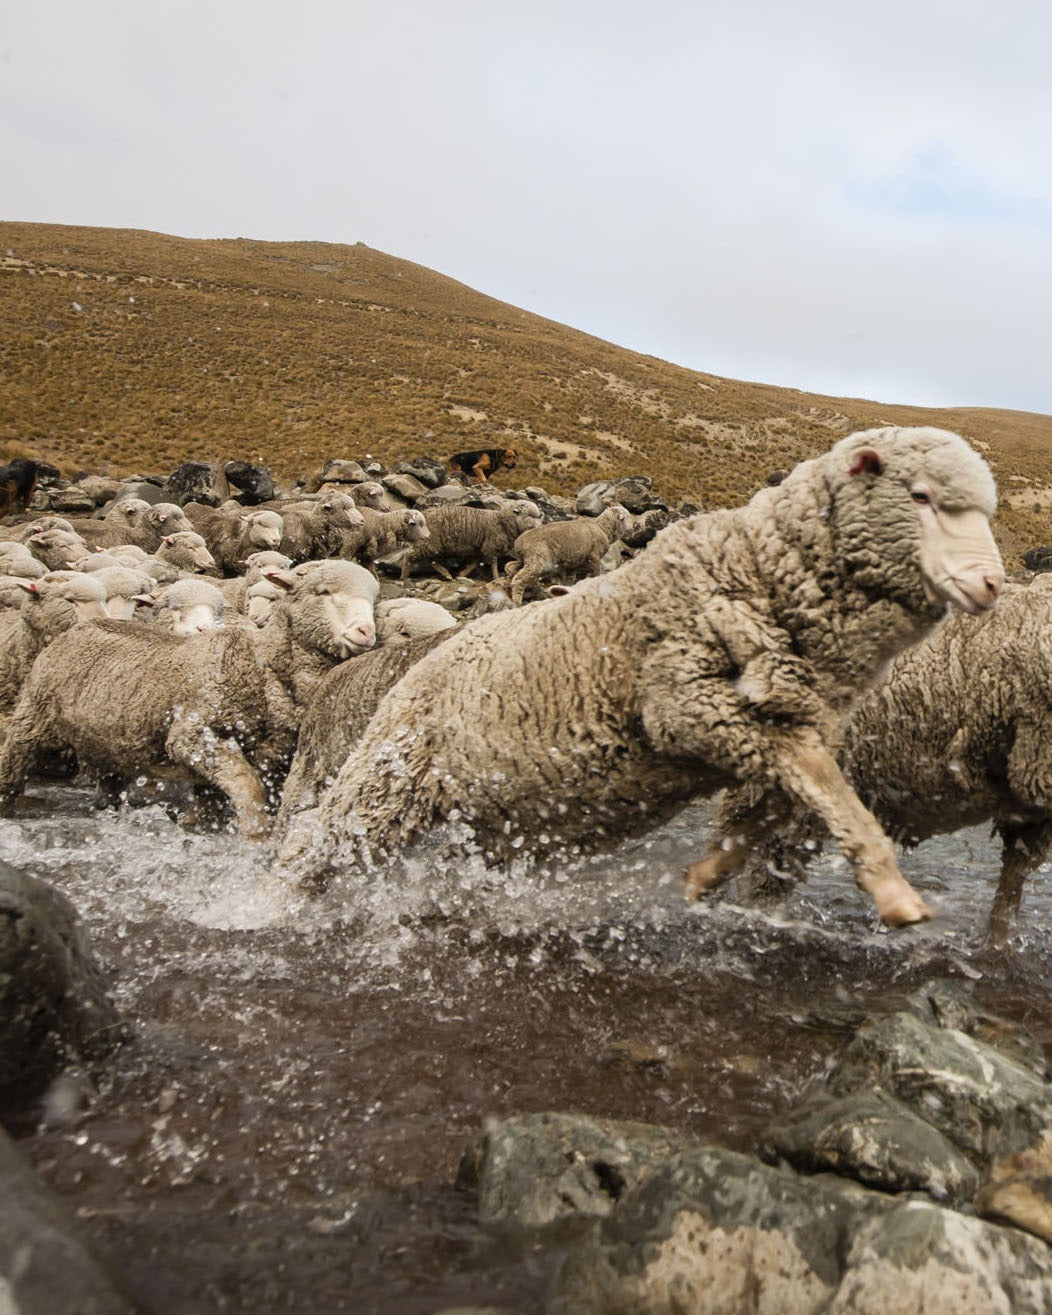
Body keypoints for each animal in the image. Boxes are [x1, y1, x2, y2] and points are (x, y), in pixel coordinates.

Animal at [0, 560, 378, 836]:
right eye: (323, 591)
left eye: (373, 600)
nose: (366, 631)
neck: (260, 664)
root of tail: (76, 628)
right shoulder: (194, 734)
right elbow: (248, 790)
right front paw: (255, 836)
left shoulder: (271, 761)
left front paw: (195, 826)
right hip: (34, 717)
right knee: (14, 758)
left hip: (104, 741)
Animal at [397, 499, 541, 583]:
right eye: (530, 516)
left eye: (538, 516)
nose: (539, 527)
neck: (502, 522)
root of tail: (422, 516)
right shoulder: (490, 547)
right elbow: (493, 563)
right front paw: (496, 578)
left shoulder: (477, 549)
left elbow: (474, 563)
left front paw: (462, 574)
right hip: (431, 542)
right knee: (410, 554)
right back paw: (404, 576)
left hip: (434, 545)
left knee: (432, 560)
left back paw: (446, 574)